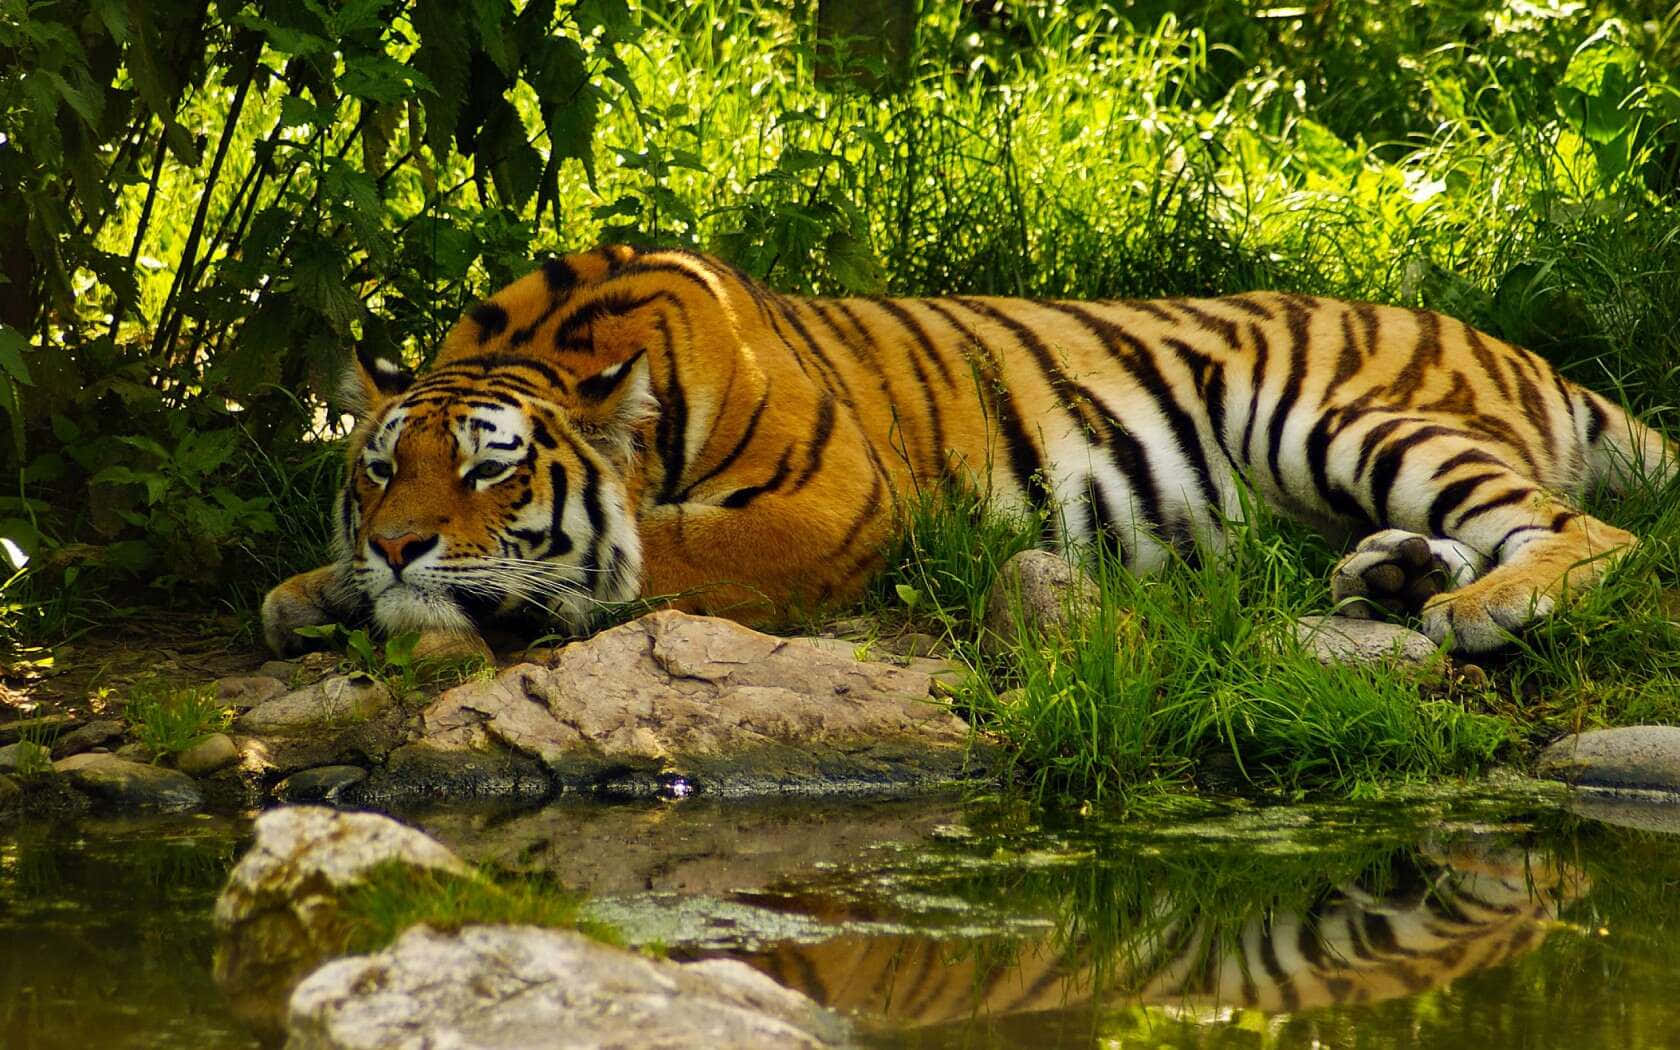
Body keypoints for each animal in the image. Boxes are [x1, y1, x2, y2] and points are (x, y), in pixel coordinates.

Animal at [258, 245, 1666, 655]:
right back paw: (1396, 576)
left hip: (1337, 415)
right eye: (380, 467)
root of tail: (1507, 343)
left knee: (1593, 531)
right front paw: (312, 590)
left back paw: (1481, 607)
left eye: (491, 468)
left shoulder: (831, 507)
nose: (398, 547)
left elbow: (654, 551)